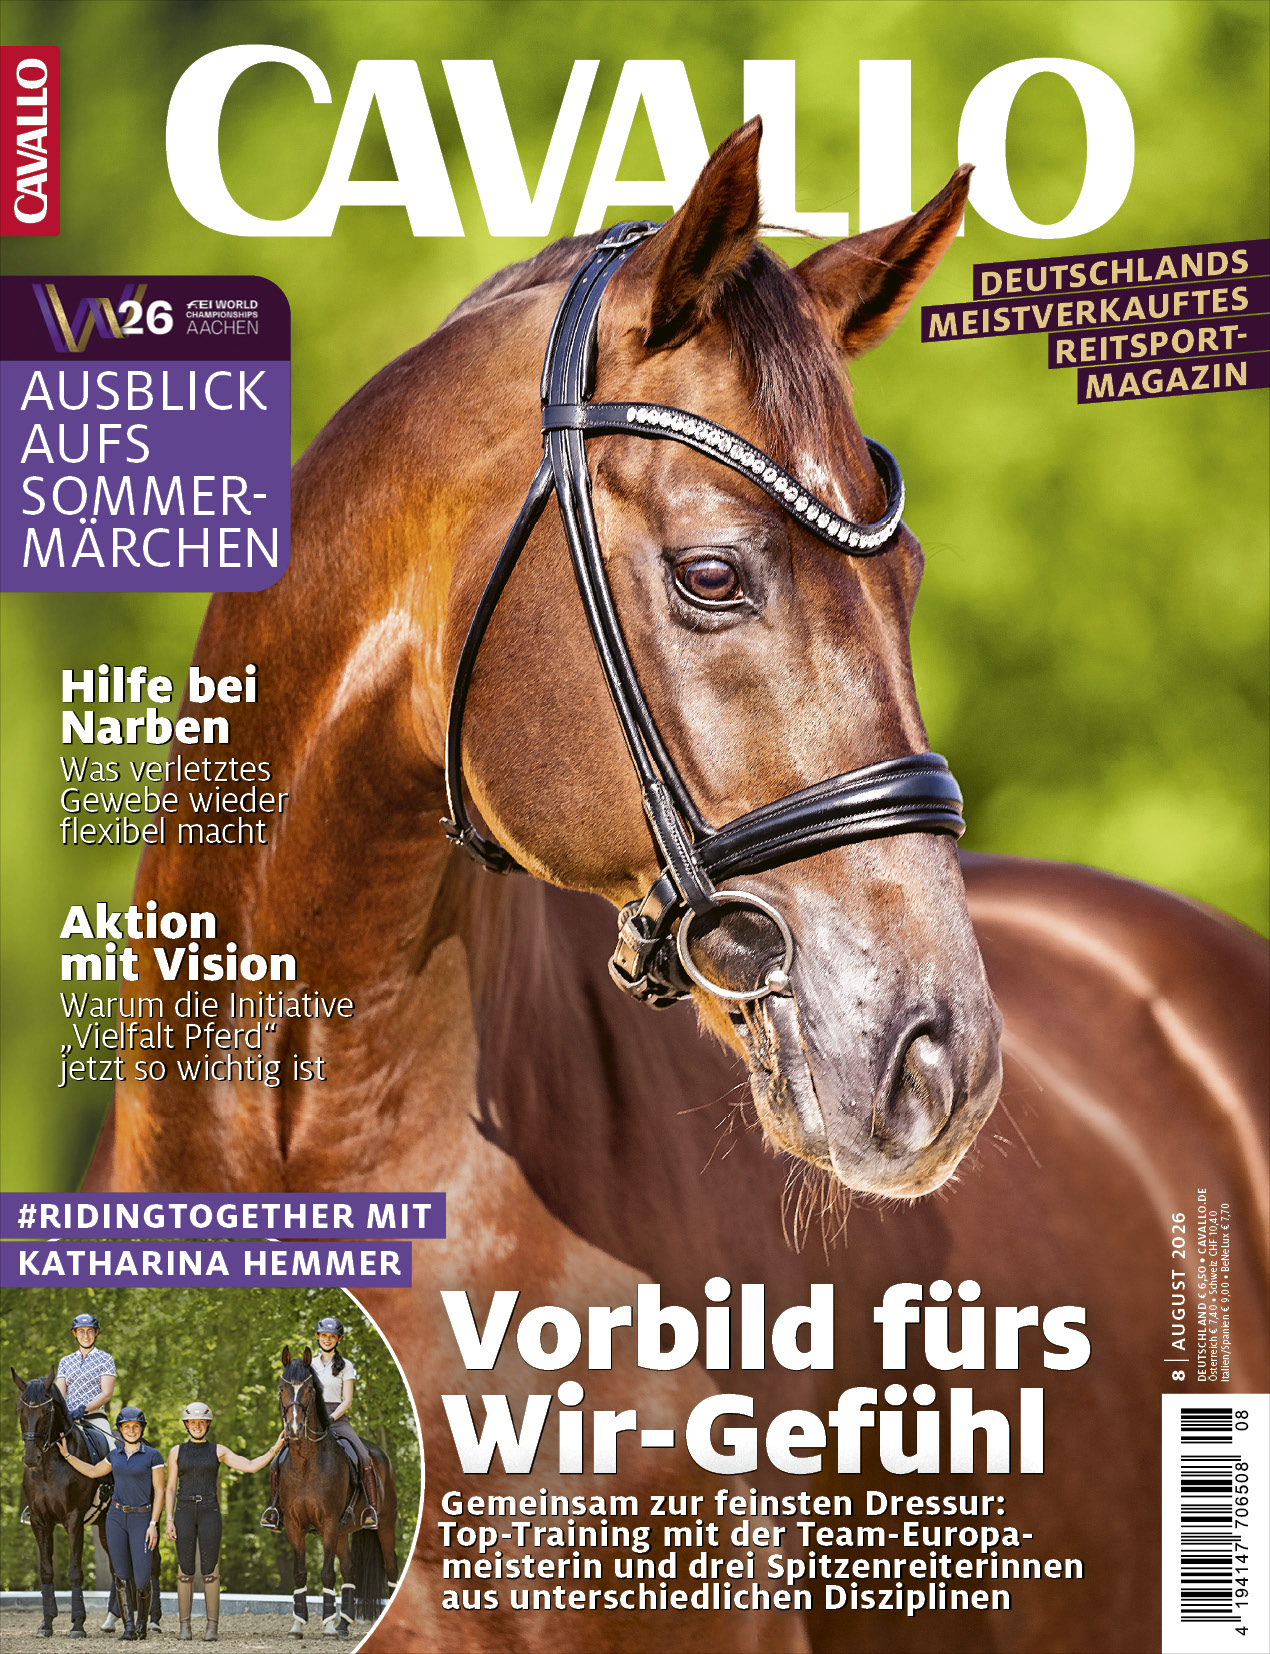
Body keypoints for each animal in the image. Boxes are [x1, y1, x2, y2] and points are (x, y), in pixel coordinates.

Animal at [12, 1369, 114, 1639]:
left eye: (47, 1412)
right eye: (19, 1410)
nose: (31, 1458)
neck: (49, 1466)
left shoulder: (74, 1521)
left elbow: (75, 1572)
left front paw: (78, 1625)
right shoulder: (40, 1522)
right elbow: (46, 1571)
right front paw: (46, 1624)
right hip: (105, 1527)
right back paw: (112, 1621)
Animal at [275, 1349, 397, 1638]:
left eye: (309, 1389)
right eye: (282, 1388)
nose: (294, 1429)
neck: (305, 1463)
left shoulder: (328, 1522)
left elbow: (327, 1573)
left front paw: (327, 1625)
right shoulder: (294, 1525)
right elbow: (300, 1573)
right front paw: (298, 1624)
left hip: (385, 1524)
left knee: (391, 1567)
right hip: (344, 1530)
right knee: (350, 1571)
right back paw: (344, 1625)